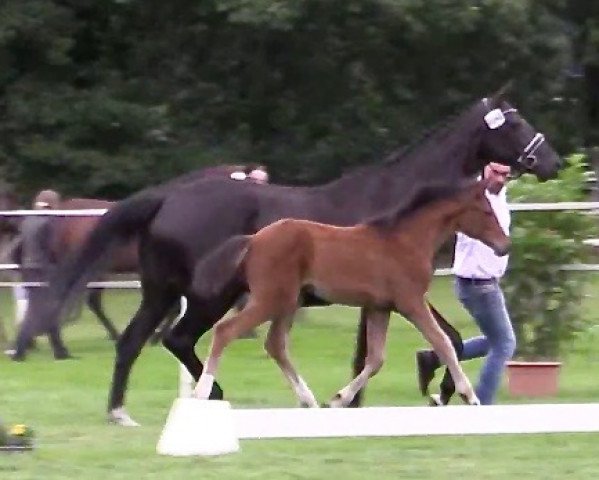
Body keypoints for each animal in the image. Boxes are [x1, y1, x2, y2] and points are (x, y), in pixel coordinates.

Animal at [193, 178, 510, 406]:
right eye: (485, 211)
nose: (504, 245)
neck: (406, 240)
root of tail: (254, 240)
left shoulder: (380, 307)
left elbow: (376, 359)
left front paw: (339, 398)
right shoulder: (411, 303)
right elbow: (443, 342)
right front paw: (470, 395)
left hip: (288, 302)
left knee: (275, 345)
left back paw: (309, 399)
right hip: (270, 300)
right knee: (225, 331)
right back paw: (201, 393)